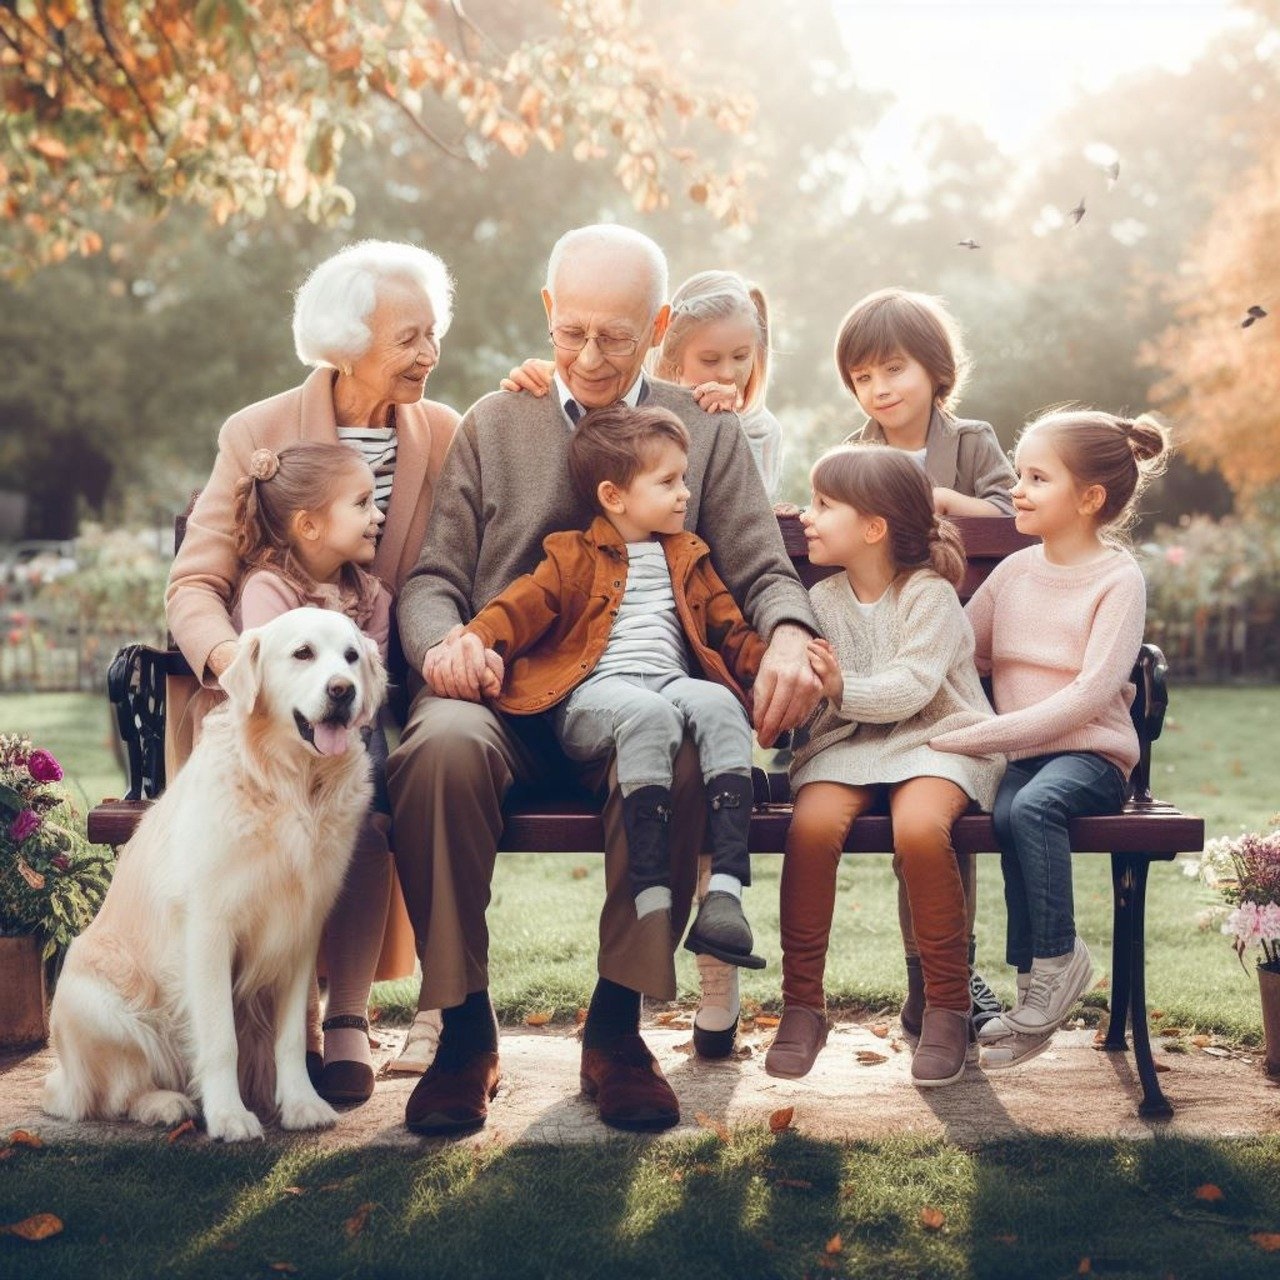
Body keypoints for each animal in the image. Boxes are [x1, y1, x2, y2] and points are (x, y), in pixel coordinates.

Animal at [43, 606, 384, 1141]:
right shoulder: (209, 929)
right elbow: (222, 1038)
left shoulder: (301, 932)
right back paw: (163, 1103)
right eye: (303, 653)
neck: (290, 787)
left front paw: (301, 1103)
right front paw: (227, 1115)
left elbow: (290, 1038)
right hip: (95, 1001)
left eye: (351, 657)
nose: (343, 690)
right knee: (112, 1094)